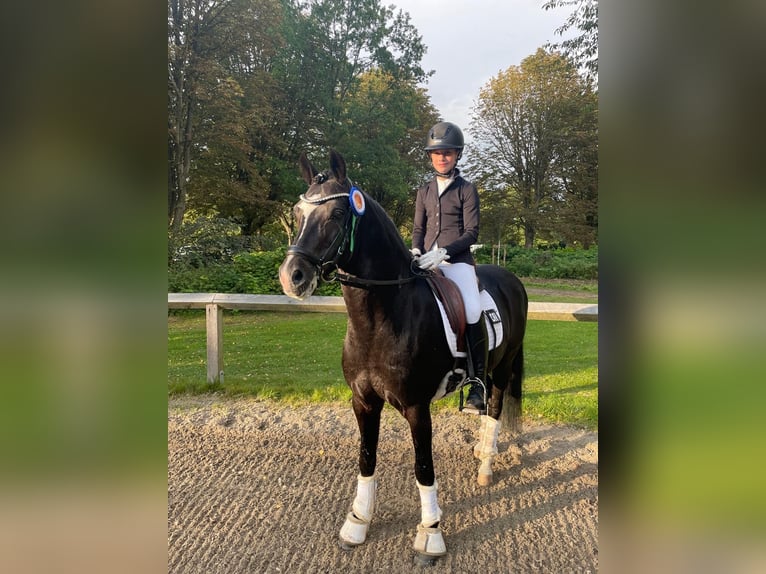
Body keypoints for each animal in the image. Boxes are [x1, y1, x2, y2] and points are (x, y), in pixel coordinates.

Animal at [280, 150, 532, 568]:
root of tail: (512, 279)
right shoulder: (363, 401)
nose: (292, 277)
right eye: (297, 213)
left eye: (337, 214)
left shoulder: (417, 407)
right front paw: (357, 522)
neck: (382, 317)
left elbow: (423, 467)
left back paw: (485, 466)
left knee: (495, 406)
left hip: (502, 366)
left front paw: (430, 535)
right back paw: (483, 448)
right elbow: (366, 458)